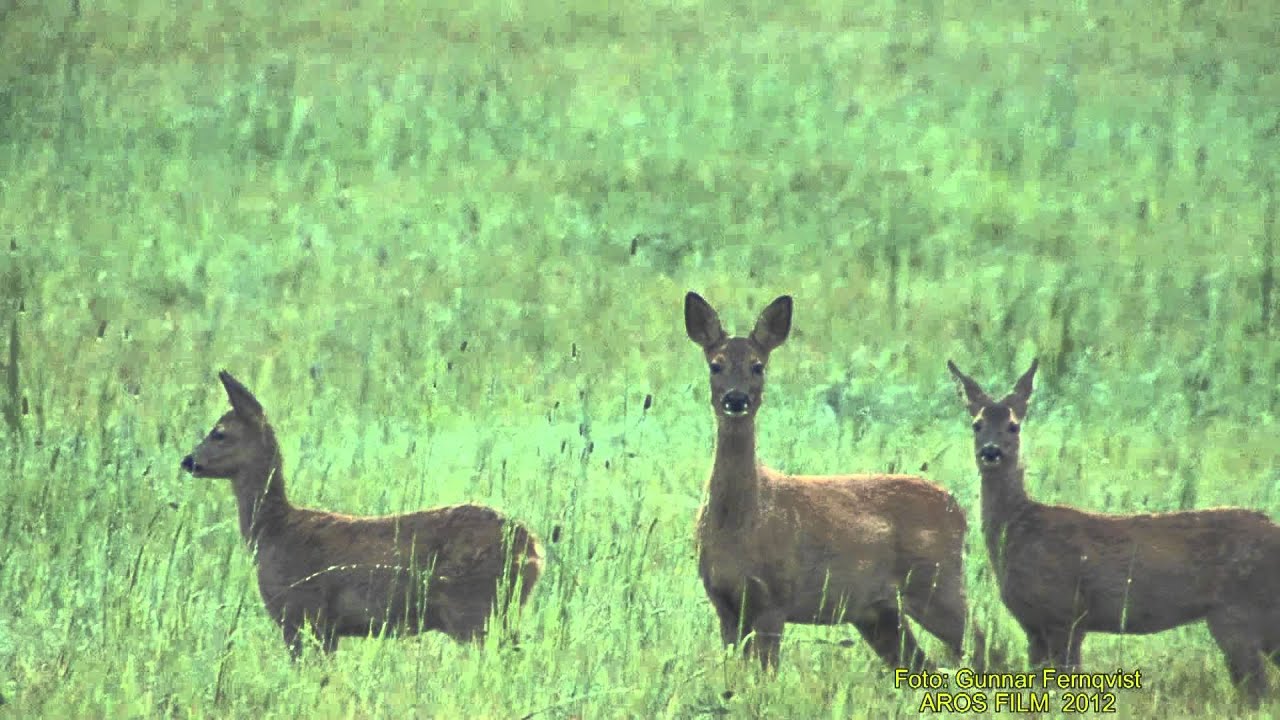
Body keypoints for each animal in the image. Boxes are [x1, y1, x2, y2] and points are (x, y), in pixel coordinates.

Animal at [180, 370, 543, 659]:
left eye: (219, 432)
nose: (187, 461)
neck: (273, 531)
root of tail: (534, 549)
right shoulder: (327, 629)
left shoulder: (300, 614)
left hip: (475, 610)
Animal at [684, 291, 986, 673]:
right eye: (716, 365)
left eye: (758, 366)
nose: (736, 399)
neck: (742, 522)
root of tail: (958, 510)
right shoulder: (724, 602)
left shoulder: (775, 598)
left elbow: (766, 674)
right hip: (879, 612)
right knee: (924, 664)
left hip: (937, 583)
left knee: (985, 645)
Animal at [947, 358, 1280, 705]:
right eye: (977, 424)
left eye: (1014, 426)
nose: (991, 451)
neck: (1020, 528)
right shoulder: (1033, 625)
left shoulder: (1067, 614)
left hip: (1239, 612)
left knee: (1258, 691)